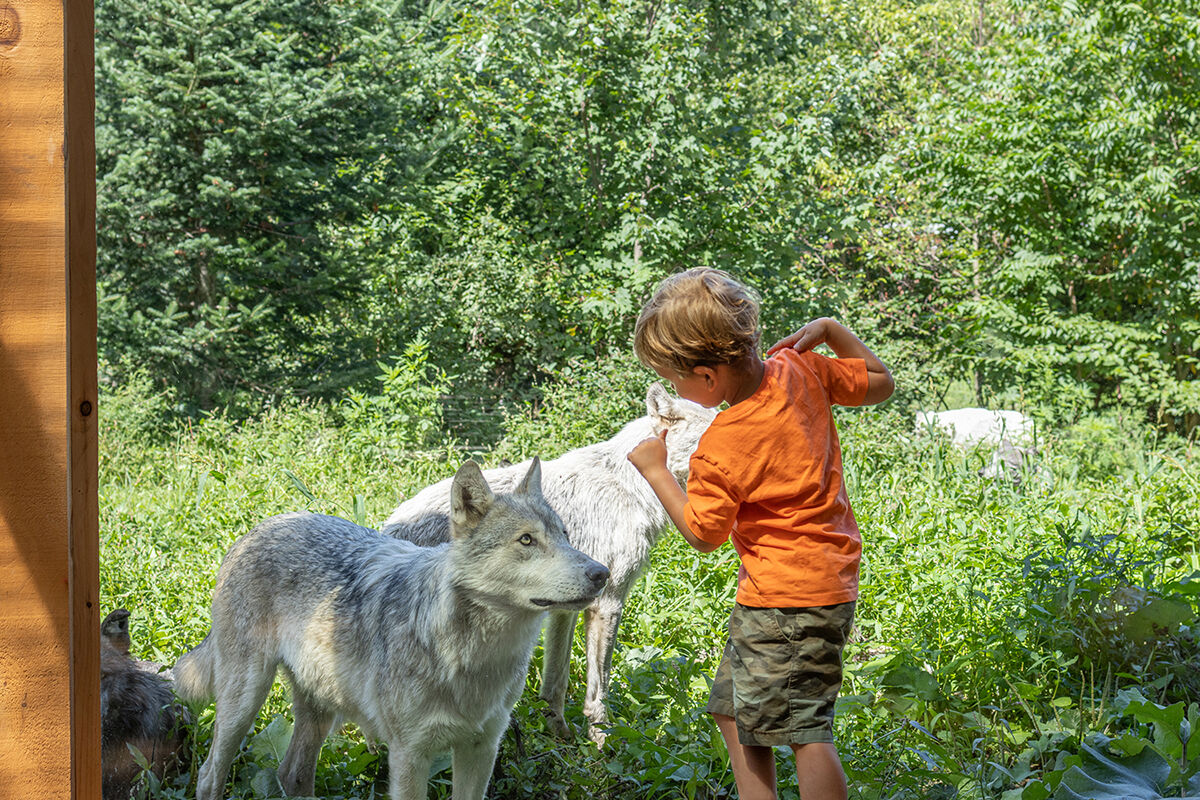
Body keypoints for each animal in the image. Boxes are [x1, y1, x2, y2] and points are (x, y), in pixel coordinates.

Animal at [175, 455, 609, 800]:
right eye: (526, 541)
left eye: (565, 536)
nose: (602, 573)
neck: (471, 658)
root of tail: (258, 527)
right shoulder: (409, 756)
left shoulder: (482, 747)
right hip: (244, 704)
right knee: (209, 774)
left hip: (318, 712)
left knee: (292, 774)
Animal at [384, 383, 715, 743]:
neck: (633, 486)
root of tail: (388, 526)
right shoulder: (608, 602)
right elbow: (599, 689)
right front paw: (602, 740)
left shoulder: (565, 608)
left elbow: (556, 681)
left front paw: (559, 731)